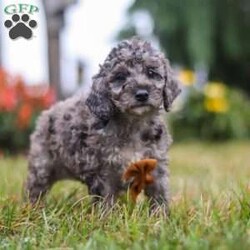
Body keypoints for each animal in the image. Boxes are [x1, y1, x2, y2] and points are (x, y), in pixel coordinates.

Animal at [25, 38, 182, 214]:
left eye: (151, 72)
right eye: (121, 77)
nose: (142, 94)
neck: (134, 123)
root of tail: (48, 112)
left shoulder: (156, 164)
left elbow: (159, 195)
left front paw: (160, 218)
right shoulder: (102, 171)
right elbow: (105, 200)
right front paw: (106, 218)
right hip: (42, 164)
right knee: (35, 189)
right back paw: (32, 209)